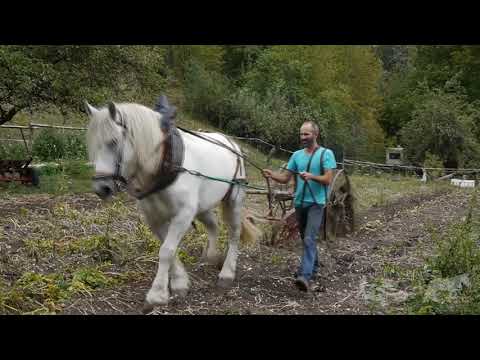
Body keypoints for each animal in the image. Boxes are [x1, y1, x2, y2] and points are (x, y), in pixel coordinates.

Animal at [86, 97, 258, 310]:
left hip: (234, 200)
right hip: (202, 205)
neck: (164, 164)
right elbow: (169, 248)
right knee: (213, 225)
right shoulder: (154, 218)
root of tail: (232, 142)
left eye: (113, 142)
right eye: (93, 145)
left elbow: (167, 251)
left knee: (234, 232)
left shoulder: (183, 215)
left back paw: (227, 272)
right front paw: (179, 283)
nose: (101, 188)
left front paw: (157, 294)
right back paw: (211, 256)